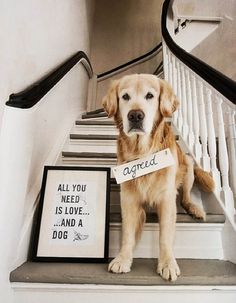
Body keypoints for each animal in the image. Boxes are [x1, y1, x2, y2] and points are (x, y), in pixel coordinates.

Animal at [101, 73, 214, 282]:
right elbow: (127, 233)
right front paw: (123, 259)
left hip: (187, 163)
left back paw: (195, 208)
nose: (135, 116)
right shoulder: (128, 197)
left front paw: (167, 263)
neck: (142, 152)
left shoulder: (167, 198)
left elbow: (165, 236)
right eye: (125, 96)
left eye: (150, 96)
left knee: (185, 198)